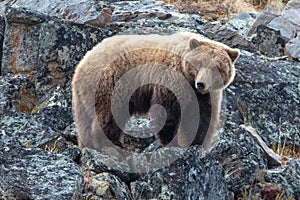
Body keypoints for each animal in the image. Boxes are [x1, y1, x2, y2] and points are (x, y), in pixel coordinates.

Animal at [72, 32, 239, 150]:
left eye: (217, 68)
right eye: (199, 63)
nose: (202, 84)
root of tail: (83, 62)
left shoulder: (205, 97)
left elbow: (202, 118)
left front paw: (198, 143)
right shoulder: (172, 80)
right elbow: (167, 111)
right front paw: (171, 142)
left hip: (83, 96)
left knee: (84, 121)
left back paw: (87, 144)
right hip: (112, 83)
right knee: (110, 114)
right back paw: (111, 143)